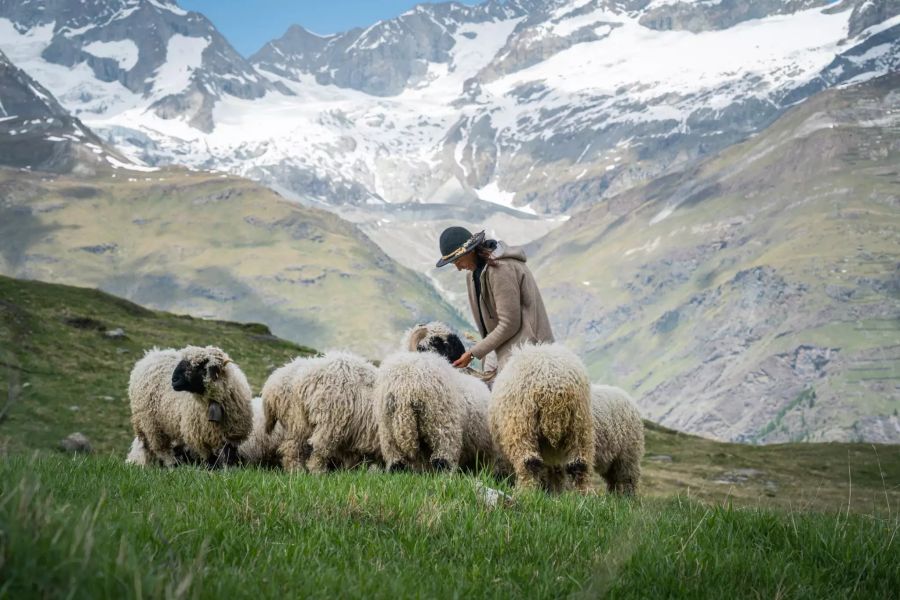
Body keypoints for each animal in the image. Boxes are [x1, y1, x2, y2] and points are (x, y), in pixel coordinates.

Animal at [126, 346, 255, 468]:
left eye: (200, 365)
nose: (174, 380)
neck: (213, 402)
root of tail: (152, 354)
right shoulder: (199, 437)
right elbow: (210, 460)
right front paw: (212, 471)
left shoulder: (233, 435)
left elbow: (229, 456)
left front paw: (230, 469)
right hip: (150, 423)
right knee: (159, 448)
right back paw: (170, 465)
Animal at [488, 342, 596, 492]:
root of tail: (551, 383)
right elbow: (556, 470)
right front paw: (556, 492)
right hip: (579, 424)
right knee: (579, 464)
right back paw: (585, 494)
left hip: (521, 424)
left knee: (528, 462)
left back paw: (526, 492)